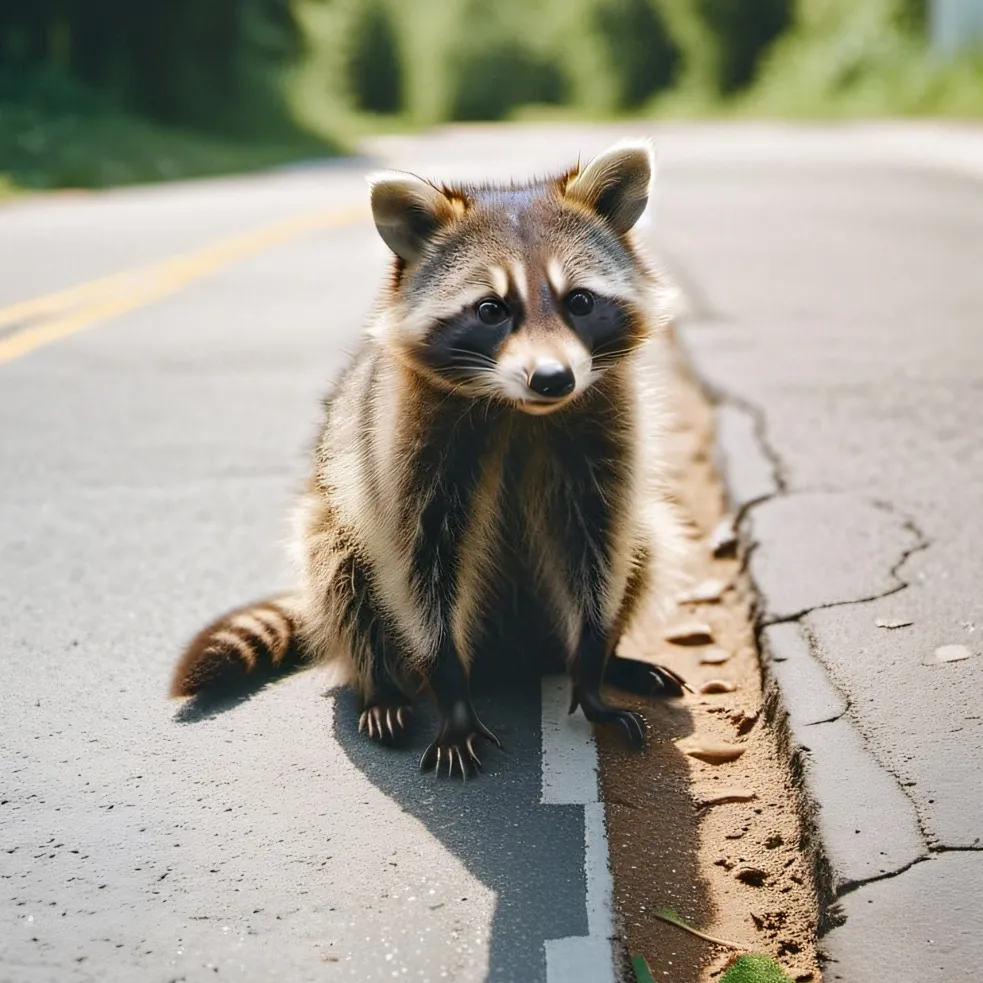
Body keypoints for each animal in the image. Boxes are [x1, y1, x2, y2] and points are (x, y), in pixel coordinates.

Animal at [170, 140, 687, 778]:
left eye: (580, 301)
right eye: (491, 309)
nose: (553, 379)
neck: (518, 410)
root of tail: (516, 656)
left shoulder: (602, 429)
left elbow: (600, 544)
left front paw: (592, 664)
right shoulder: (402, 448)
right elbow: (419, 565)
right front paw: (449, 690)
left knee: (646, 540)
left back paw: (609, 657)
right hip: (337, 514)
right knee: (339, 566)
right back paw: (381, 685)